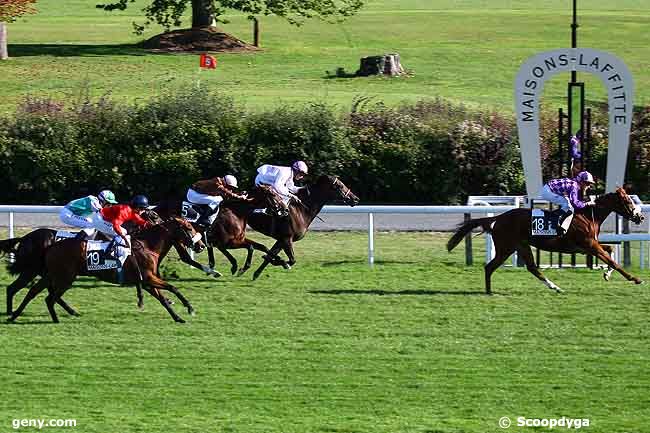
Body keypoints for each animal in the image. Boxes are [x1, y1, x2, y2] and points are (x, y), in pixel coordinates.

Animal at [7, 218, 204, 322]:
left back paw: (14, 315)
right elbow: (173, 287)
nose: (201, 245)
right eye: (188, 227)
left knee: (33, 291)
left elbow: (163, 298)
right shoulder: (148, 278)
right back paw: (53, 318)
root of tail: (51, 246)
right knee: (48, 297)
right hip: (63, 277)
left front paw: (178, 316)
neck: (147, 245)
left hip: (50, 274)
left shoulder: (147, 281)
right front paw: (189, 308)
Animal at [446, 186, 644, 294]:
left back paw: (554, 287)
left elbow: (610, 251)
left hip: (520, 246)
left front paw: (606, 274)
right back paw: (489, 291)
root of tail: (498, 218)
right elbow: (613, 260)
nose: (640, 217)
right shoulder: (589, 245)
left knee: (532, 268)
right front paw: (635, 279)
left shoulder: (586, 246)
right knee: (490, 267)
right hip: (506, 247)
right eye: (628, 202)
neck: (588, 215)